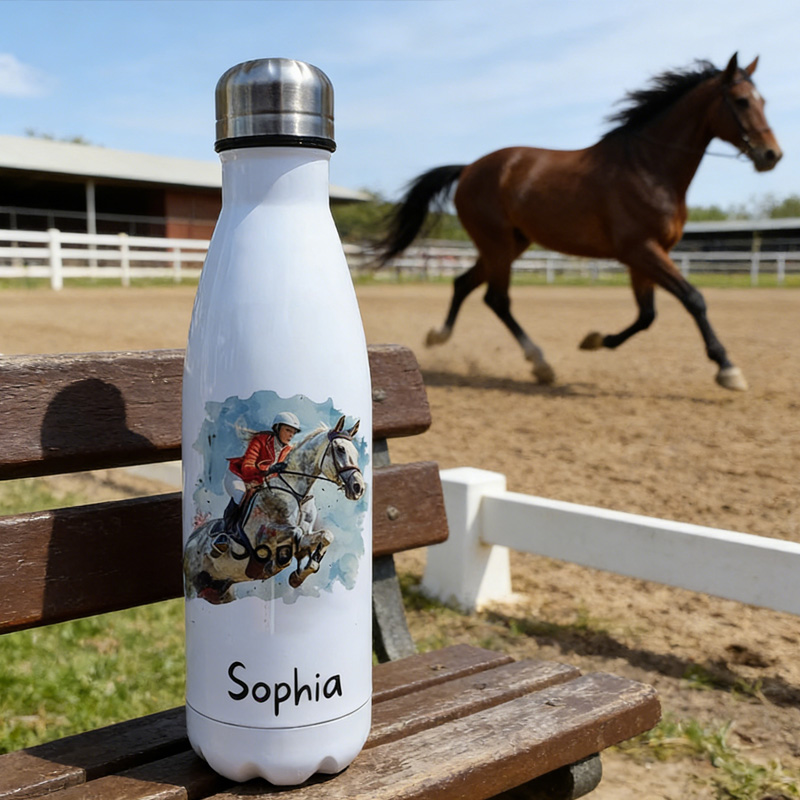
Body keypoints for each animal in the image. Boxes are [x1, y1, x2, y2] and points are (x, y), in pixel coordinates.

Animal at [184, 416, 364, 604]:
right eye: (341, 449)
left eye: (356, 453)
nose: (358, 488)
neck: (297, 494)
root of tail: (190, 541)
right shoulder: (262, 535)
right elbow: (295, 533)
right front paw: (277, 565)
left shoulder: (308, 533)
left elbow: (326, 536)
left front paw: (300, 574)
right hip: (193, 585)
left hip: (219, 590)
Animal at [376, 54, 782, 391]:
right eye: (742, 101)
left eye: (763, 101)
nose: (772, 155)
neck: (648, 168)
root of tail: (469, 168)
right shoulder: (641, 250)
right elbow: (693, 299)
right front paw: (728, 369)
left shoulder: (646, 255)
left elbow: (647, 315)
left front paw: (595, 340)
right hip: (497, 244)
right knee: (497, 298)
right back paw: (539, 363)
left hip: (511, 243)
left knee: (465, 284)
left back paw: (440, 337)